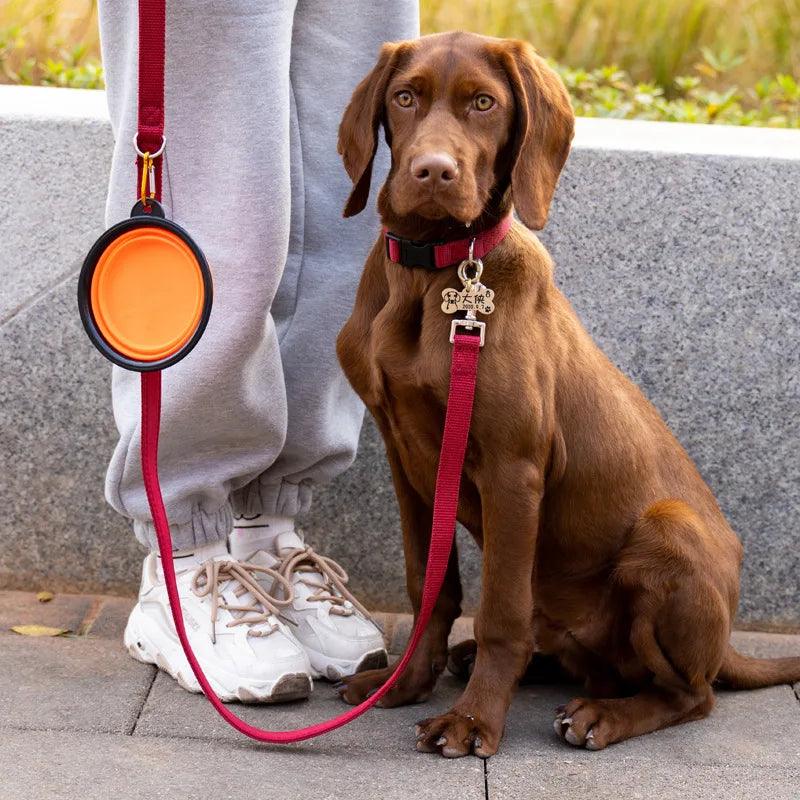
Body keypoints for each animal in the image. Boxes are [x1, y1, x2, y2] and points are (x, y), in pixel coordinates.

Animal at [332, 31, 800, 756]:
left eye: (485, 104)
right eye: (405, 97)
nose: (433, 172)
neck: (434, 273)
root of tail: (726, 646)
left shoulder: (513, 467)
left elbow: (499, 611)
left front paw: (474, 720)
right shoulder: (405, 458)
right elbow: (427, 584)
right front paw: (405, 682)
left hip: (668, 531)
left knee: (691, 696)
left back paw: (601, 715)